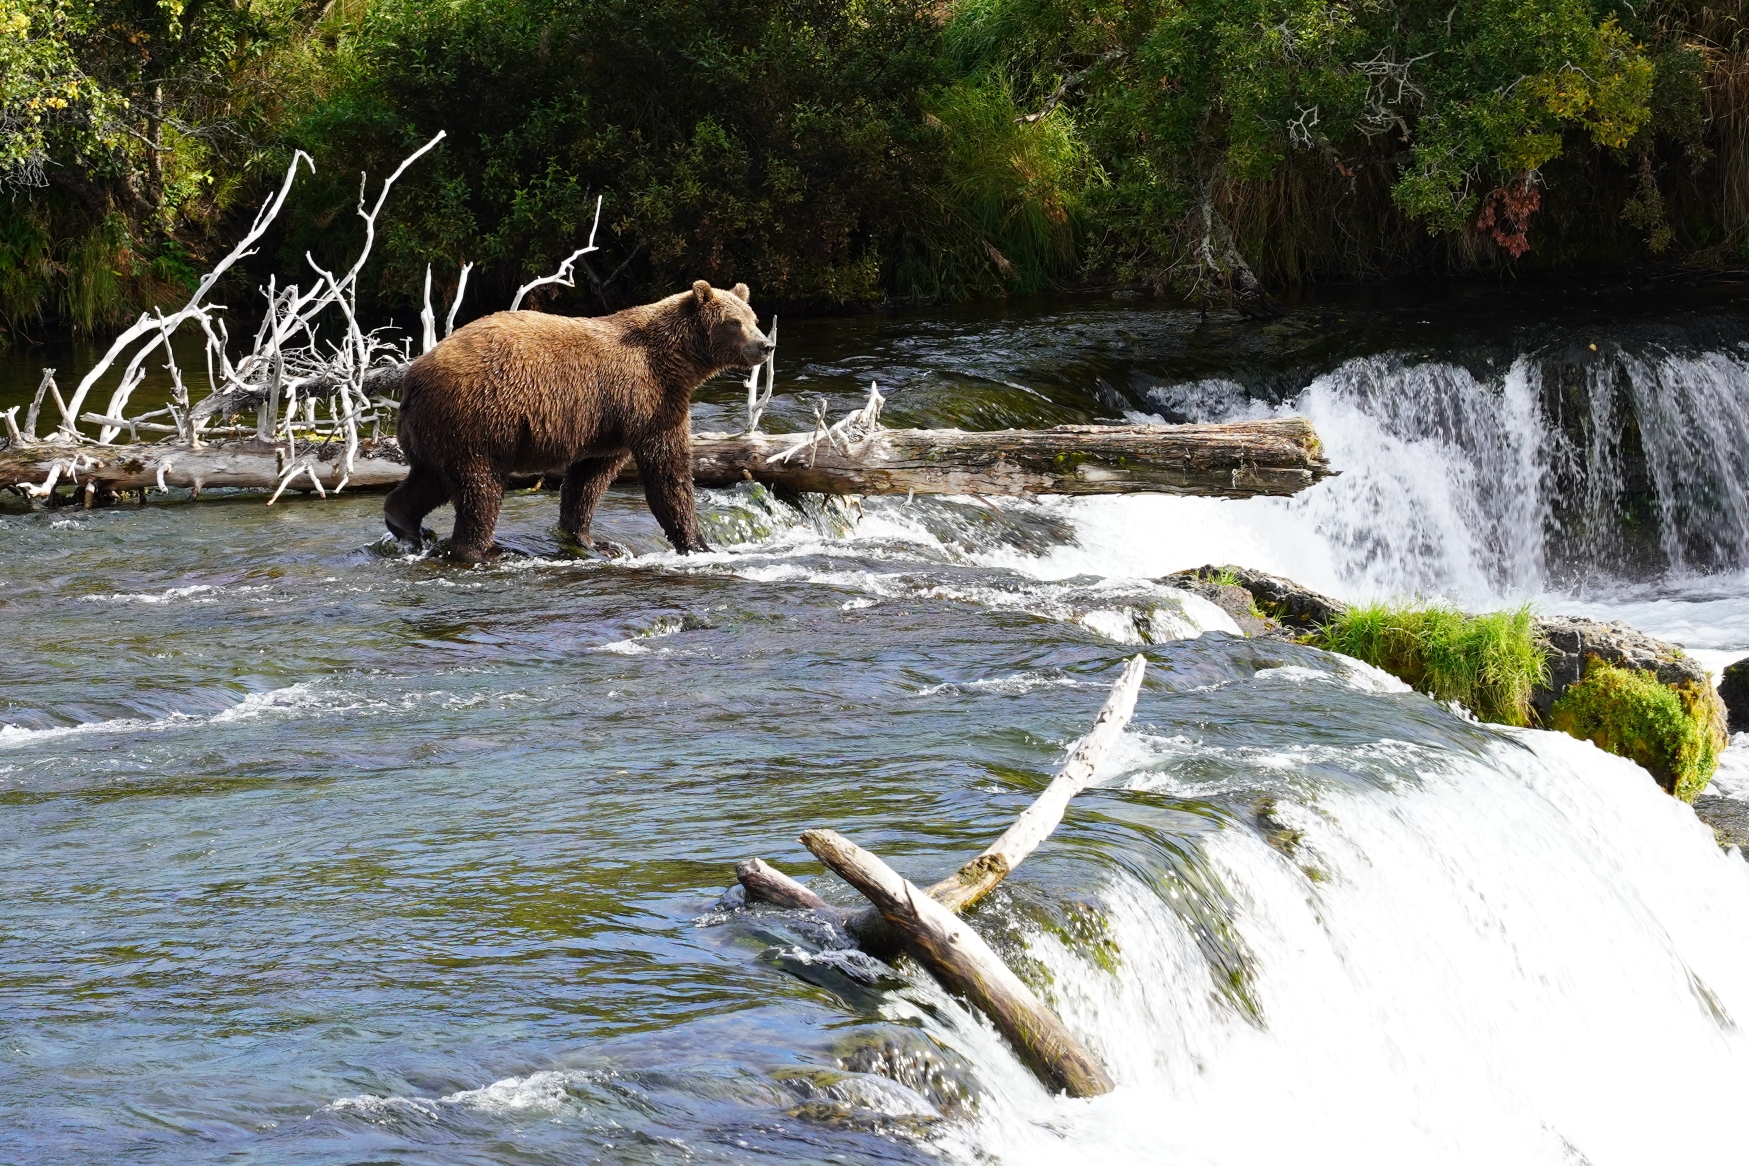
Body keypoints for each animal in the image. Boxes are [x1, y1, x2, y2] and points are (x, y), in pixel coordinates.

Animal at [390, 277, 773, 559]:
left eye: (754, 318)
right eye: (734, 322)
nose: (766, 345)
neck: (676, 363)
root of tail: (413, 377)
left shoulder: (610, 421)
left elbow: (589, 478)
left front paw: (592, 540)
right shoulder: (646, 399)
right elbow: (667, 469)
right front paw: (697, 543)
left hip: (437, 431)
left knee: (431, 480)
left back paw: (405, 523)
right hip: (476, 419)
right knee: (479, 488)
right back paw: (486, 551)